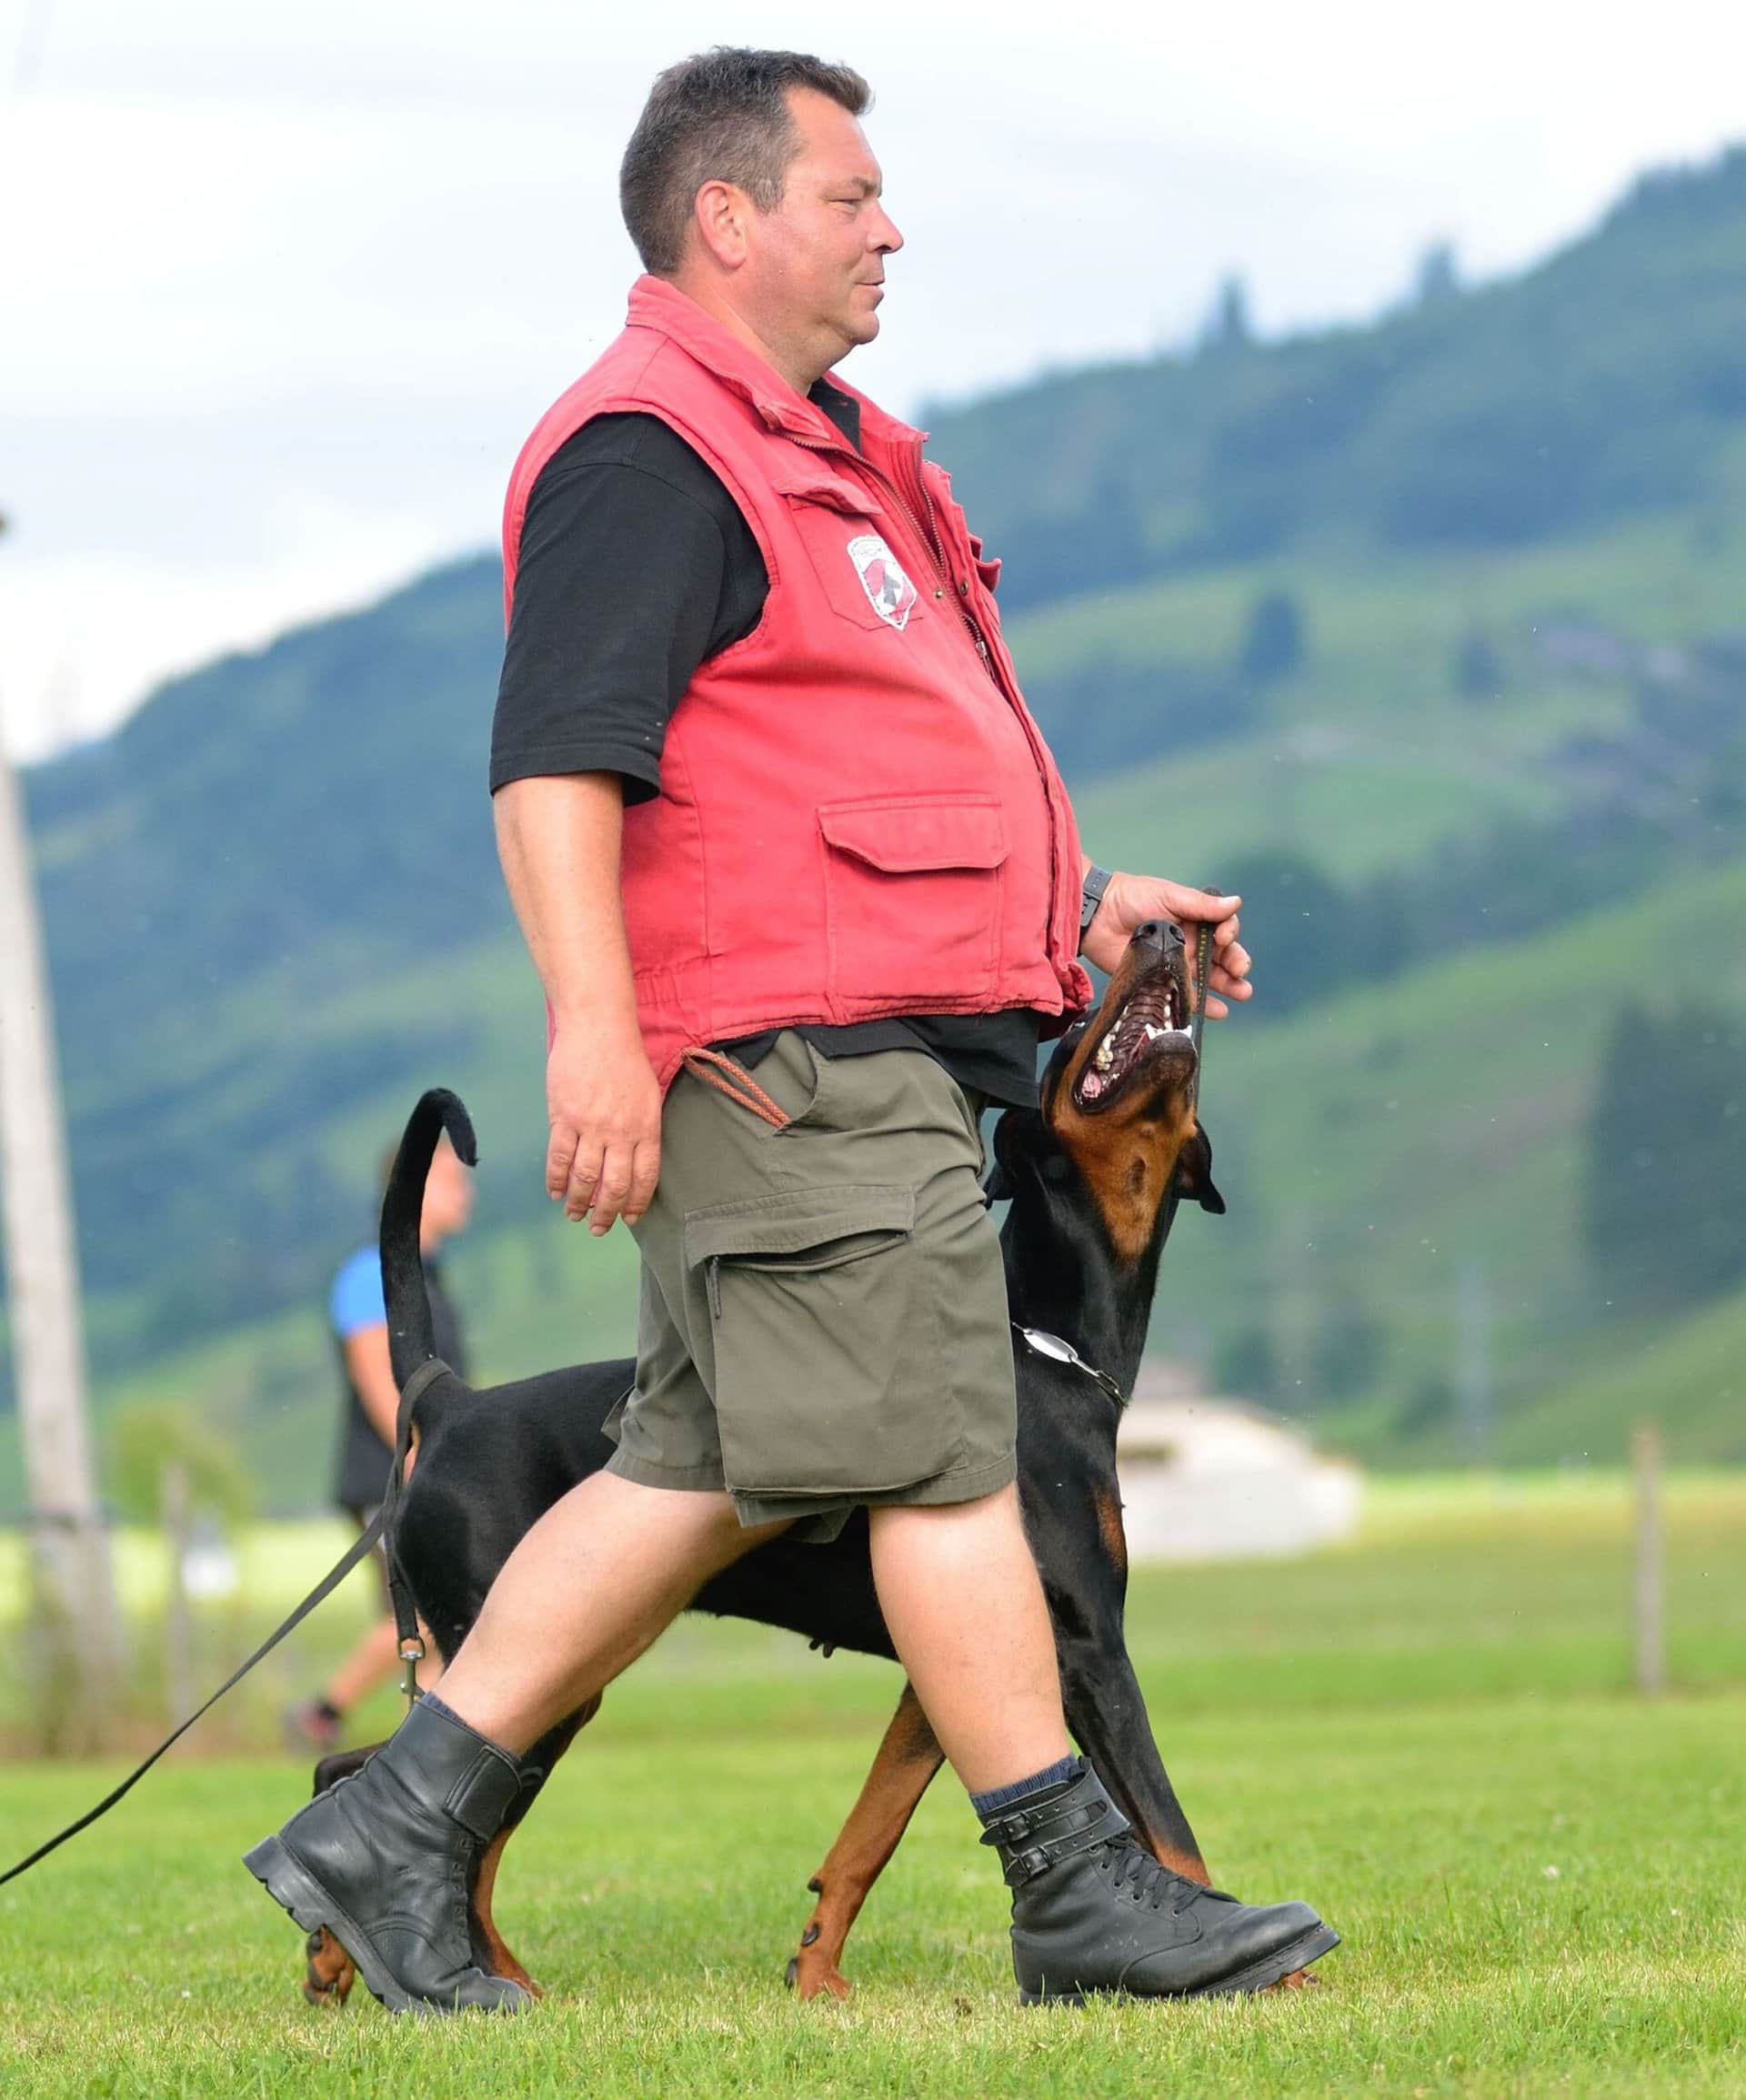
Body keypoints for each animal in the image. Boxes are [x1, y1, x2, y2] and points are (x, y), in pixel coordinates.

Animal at [300, 919, 1233, 2007]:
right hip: (535, 1664)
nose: (1163, 926)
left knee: (377, 1785)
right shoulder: (1089, 1645)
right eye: (1075, 1032)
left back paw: (359, 1958)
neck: (1046, 1343)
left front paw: (817, 1970)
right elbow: (1173, 1830)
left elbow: (873, 1827)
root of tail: (451, 1402)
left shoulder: (964, 1643)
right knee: (433, 1812)